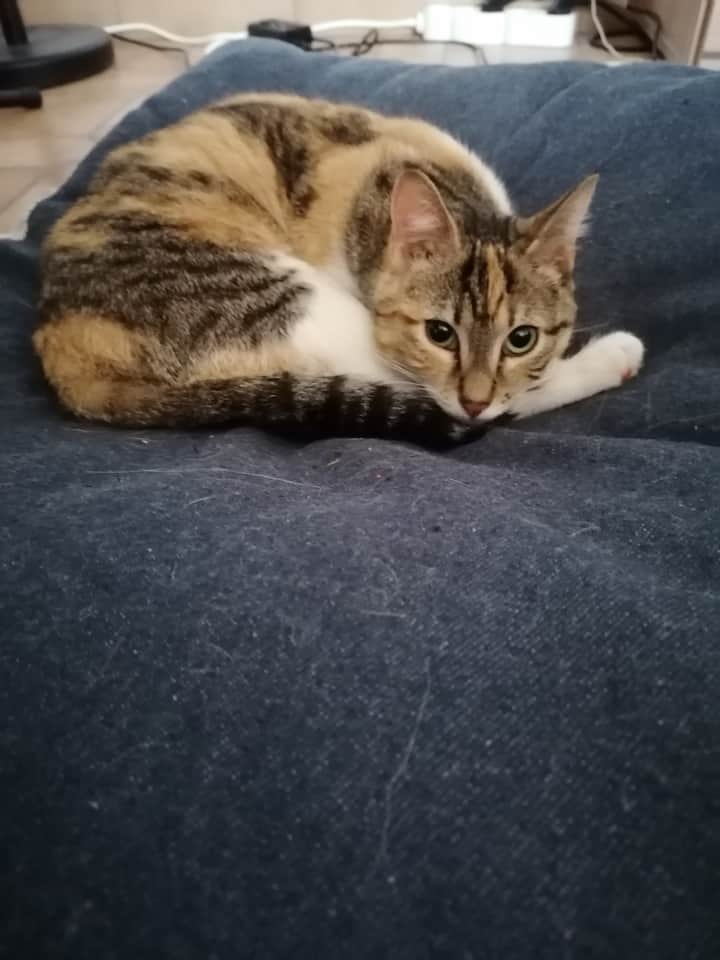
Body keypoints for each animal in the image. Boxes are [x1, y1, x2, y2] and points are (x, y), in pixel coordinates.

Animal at [34, 93, 644, 442]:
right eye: (440, 333)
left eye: (521, 338)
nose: (475, 400)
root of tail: (58, 349)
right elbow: (505, 393)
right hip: (281, 297)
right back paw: (612, 358)